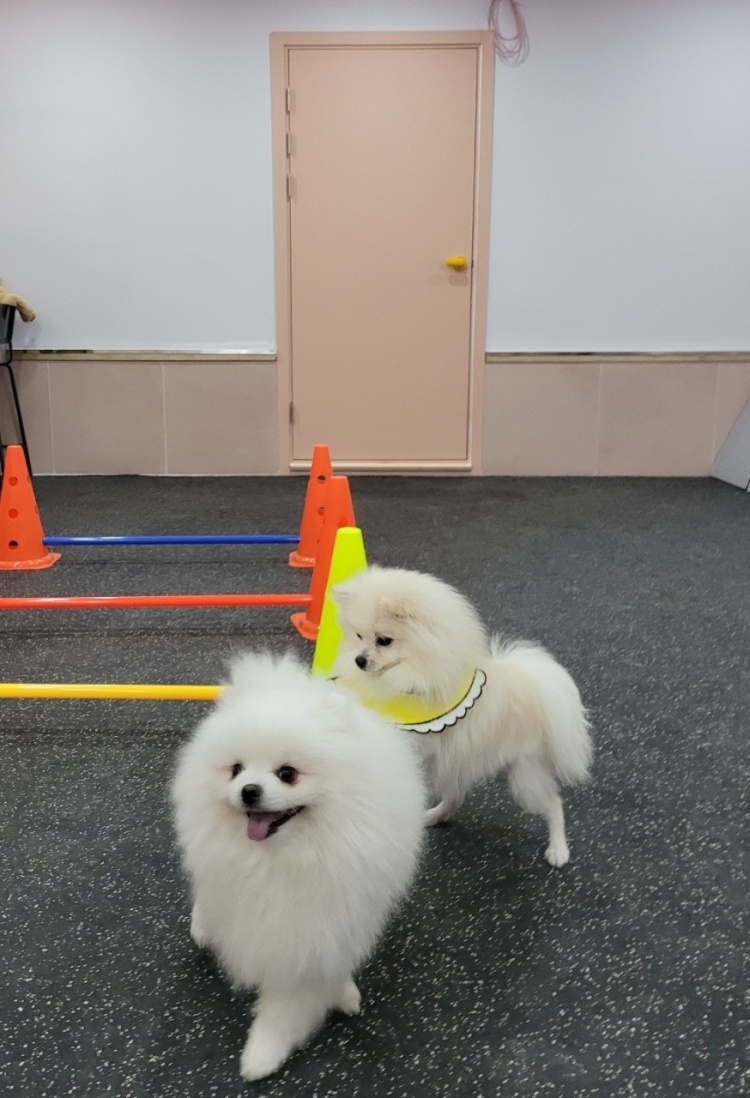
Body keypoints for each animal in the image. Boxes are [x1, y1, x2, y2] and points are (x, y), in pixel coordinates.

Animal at [171, 651, 425, 1080]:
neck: (284, 859)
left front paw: (262, 1053)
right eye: (236, 769)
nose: (248, 791)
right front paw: (261, 1057)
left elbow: (290, 1003)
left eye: (287, 774)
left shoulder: (317, 928)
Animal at [332, 567, 592, 867]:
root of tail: (534, 686)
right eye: (359, 636)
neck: (414, 670)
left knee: (554, 803)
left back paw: (558, 849)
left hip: (525, 780)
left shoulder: (421, 743)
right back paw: (433, 816)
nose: (359, 661)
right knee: (455, 797)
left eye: (383, 640)